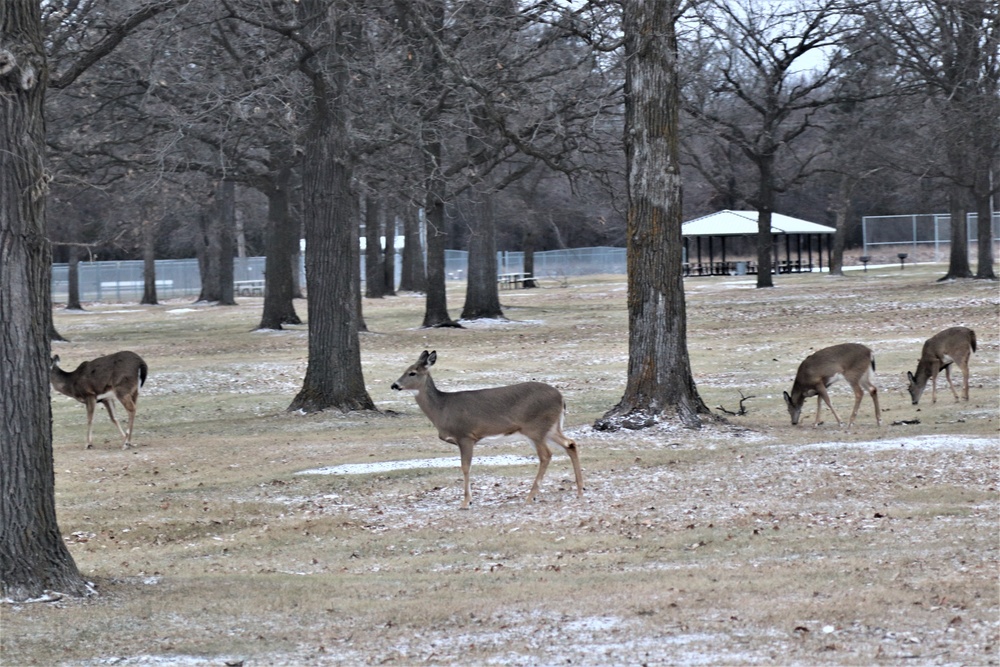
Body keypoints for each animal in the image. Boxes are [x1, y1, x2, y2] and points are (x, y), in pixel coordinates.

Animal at [388, 350, 584, 512]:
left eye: (412, 372)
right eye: (405, 369)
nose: (394, 385)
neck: (442, 409)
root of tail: (561, 397)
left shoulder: (465, 436)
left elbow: (465, 467)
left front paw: (466, 502)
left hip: (535, 428)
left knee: (546, 455)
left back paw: (531, 496)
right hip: (550, 428)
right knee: (570, 443)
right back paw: (580, 490)